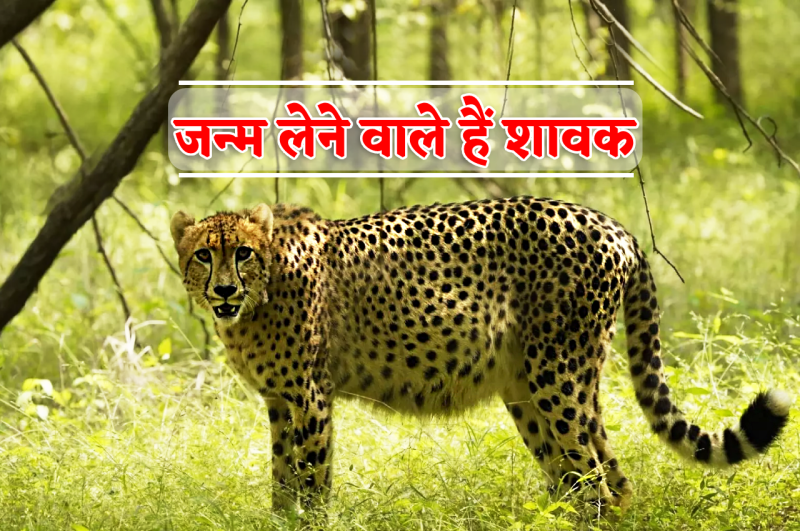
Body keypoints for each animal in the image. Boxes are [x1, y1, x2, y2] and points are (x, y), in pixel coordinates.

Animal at [170, 196, 789, 515]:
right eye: (203, 255)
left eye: (242, 253)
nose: (223, 291)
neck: (259, 297)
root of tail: (613, 225)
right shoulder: (279, 401)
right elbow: (281, 480)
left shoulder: (311, 399)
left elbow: (311, 480)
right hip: (536, 390)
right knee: (604, 480)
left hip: (557, 379)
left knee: (591, 482)